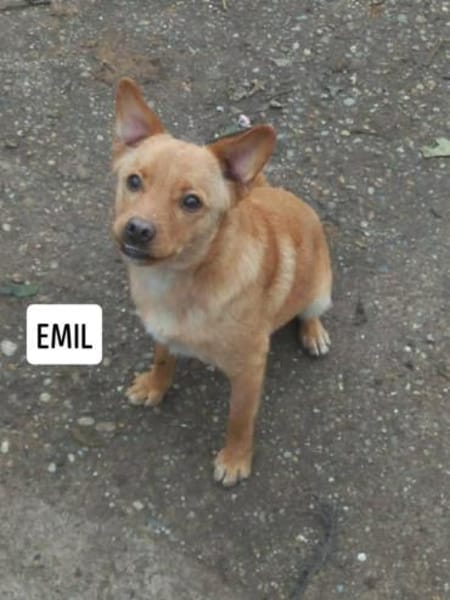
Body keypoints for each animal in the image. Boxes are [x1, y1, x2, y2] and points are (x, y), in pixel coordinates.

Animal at [112, 78, 332, 486]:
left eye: (191, 202)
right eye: (133, 181)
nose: (137, 229)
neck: (182, 279)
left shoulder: (249, 371)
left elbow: (239, 419)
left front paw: (235, 458)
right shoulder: (162, 334)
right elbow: (163, 359)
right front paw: (155, 386)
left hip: (320, 292)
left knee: (309, 311)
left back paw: (313, 333)